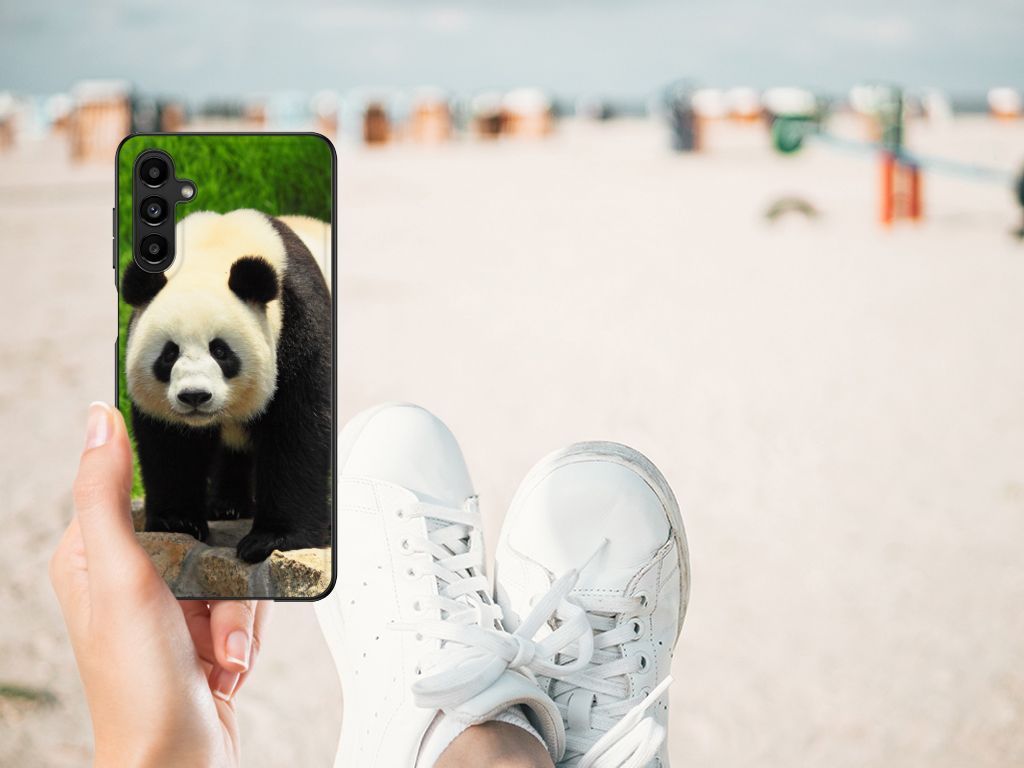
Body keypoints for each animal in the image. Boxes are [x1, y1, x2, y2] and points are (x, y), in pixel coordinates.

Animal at [122, 209, 332, 563]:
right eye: (169, 354)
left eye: (220, 351)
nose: (194, 396)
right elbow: (170, 443)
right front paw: (177, 521)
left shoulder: (299, 323)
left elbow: (298, 429)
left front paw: (272, 539)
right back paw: (227, 506)